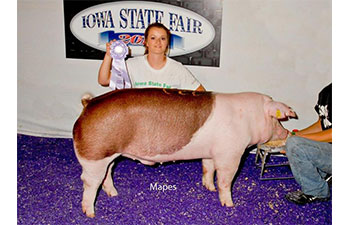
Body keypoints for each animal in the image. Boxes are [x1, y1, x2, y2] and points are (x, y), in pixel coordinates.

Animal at [73, 87, 296, 217]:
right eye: (277, 119)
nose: (287, 132)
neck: (249, 118)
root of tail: (88, 104)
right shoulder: (231, 154)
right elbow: (225, 179)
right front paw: (229, 205)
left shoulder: (210, 152)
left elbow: (208, 169)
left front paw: (209, 188)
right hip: (95, 156)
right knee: (89, 182)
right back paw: (90, 213)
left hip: (109, 155)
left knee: (107, 175)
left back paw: (114, 194)